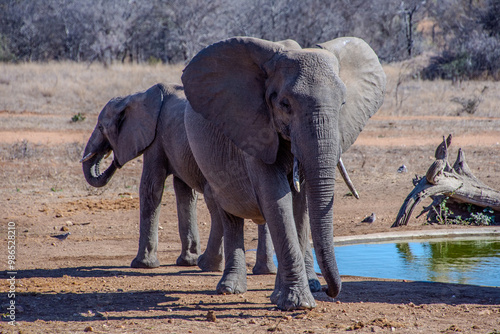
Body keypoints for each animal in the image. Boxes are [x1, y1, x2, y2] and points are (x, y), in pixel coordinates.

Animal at [182, 36, 384, 310]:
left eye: (343, 103)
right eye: (285, 105)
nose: (330, 291)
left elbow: (300, 203)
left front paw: (286, 298)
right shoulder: (254, 129)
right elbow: (277, 198)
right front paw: (299, 304)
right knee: (229, 214)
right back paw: (229, 289)